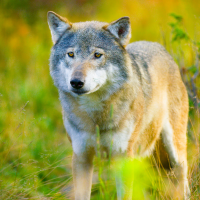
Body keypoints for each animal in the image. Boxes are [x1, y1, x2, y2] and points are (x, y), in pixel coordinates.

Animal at [47, 11, 190, 200]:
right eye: (71, 54)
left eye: (97, 55)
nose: (76, 82)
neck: (96, 118)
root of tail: (160, 47)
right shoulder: (81, 157)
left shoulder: (123, 159)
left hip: (174, 150)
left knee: (183, 176)